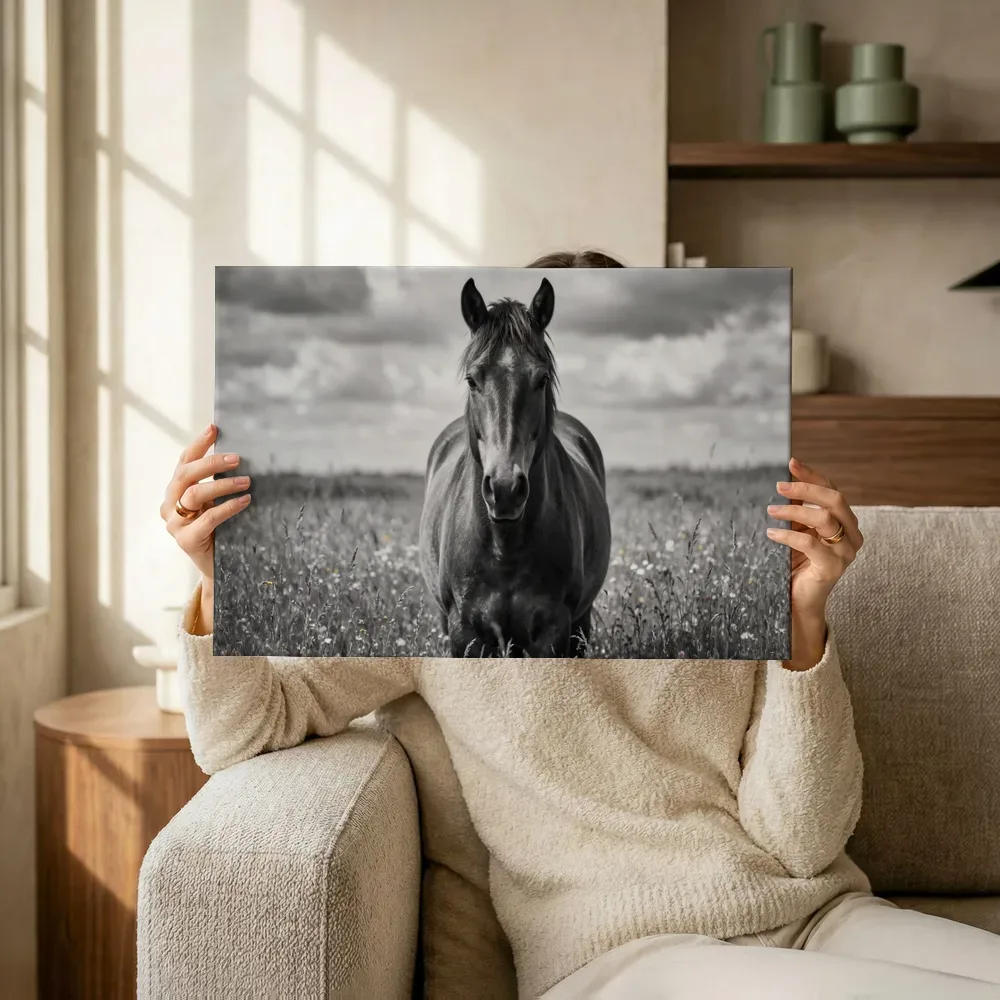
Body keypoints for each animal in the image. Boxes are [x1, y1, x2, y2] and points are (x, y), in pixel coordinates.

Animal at [418, 276, 612, 657]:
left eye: (542, 378)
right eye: (472, 380)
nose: (505, 489)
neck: (504, 547)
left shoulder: (553, 632)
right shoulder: (464, 634)